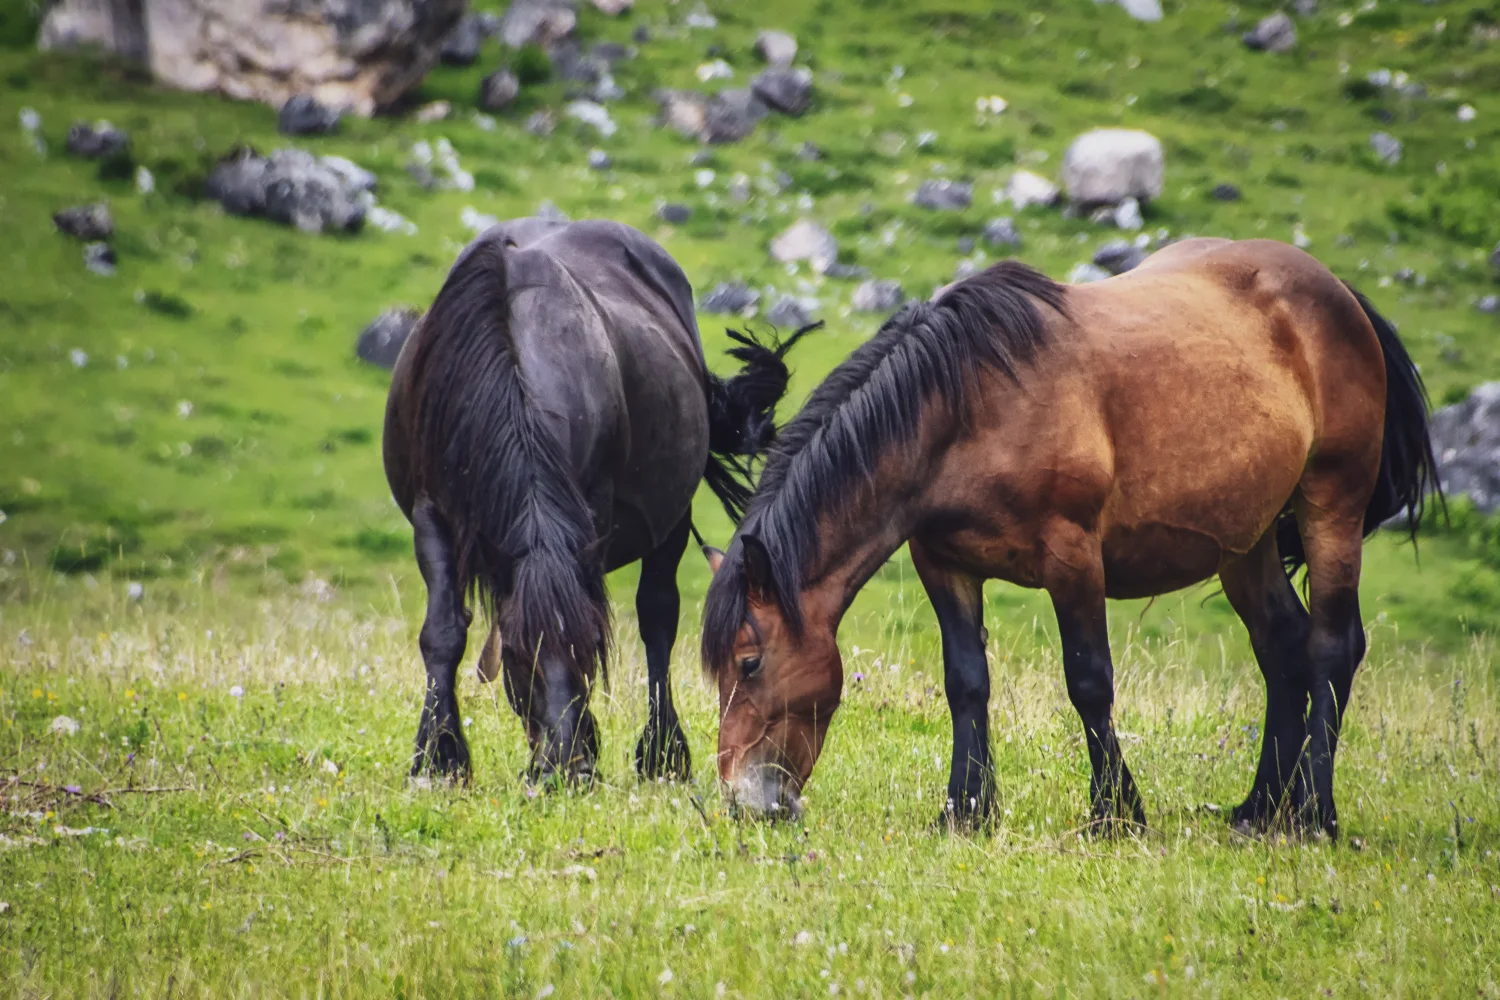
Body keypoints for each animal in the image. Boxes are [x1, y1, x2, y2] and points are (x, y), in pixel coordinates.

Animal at [384, 217, 808, 785]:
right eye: (518, 657)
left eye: (590, 652)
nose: (569, 767)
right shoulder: (432, 515)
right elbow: (444, 633)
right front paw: (437, 756)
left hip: (672, 518)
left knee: (658, 618)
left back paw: (662, 752)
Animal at [701, 238, 1441, 838]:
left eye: (749, 664)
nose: (742, 800)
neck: (965, 404)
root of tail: (1339, 294)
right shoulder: (942, 563)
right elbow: (966, 682)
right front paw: (966, 811)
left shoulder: (1073, 556)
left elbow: (1089, 682)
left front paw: (1115, 814)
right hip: (1246, 539)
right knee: (1281, 648)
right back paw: (1260, 809)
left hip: (1331, 506)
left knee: (1331, 648)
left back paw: (1313, 814)